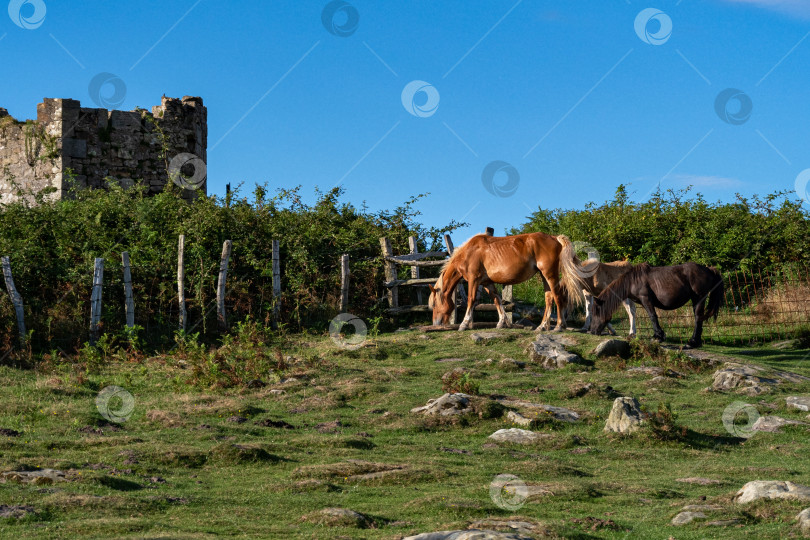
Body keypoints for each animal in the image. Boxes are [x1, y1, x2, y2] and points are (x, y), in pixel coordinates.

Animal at [426, 231, 584, 330]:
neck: (469, 252)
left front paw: (464, 324)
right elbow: (497, 299)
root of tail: (554, 238)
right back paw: (542, 326)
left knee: (558, 296)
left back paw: (559, 326)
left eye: (434, 304)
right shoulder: (487, 283)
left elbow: (471, 300)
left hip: (550, 274)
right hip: (544, 276)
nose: (435, 323)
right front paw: (502, 322)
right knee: (549, 298)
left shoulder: (473, 280)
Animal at [584, 262, 724, 348]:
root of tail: (709, 269)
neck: (632, 281)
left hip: (699, 298)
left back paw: (693, 342)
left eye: (596, 312)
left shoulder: (646, 299)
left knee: (698, 318)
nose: (593, 331)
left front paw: (658, 337)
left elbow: (652, 316)